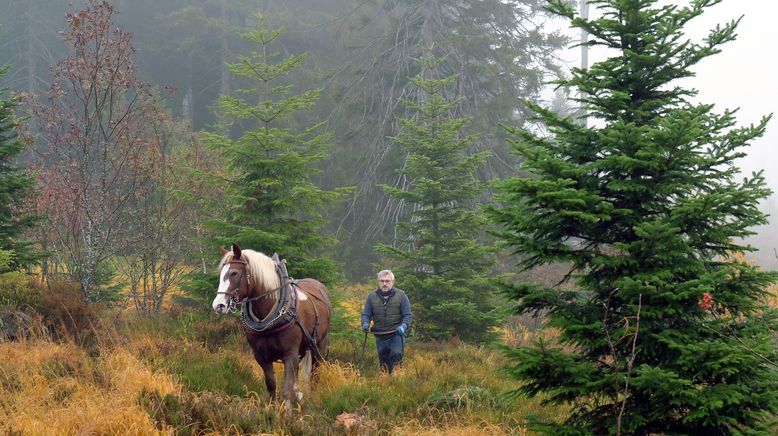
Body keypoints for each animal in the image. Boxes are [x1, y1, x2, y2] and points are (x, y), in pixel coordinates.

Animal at [212, 244, 330, 408]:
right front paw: (273, 410)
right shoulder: (261, 356)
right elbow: (271, 385)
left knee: (315, 373)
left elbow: (287, 389)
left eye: (234, 273)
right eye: (221, 272)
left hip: (319, 345)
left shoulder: (290, 355)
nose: (219, 305)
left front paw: (286, 413)